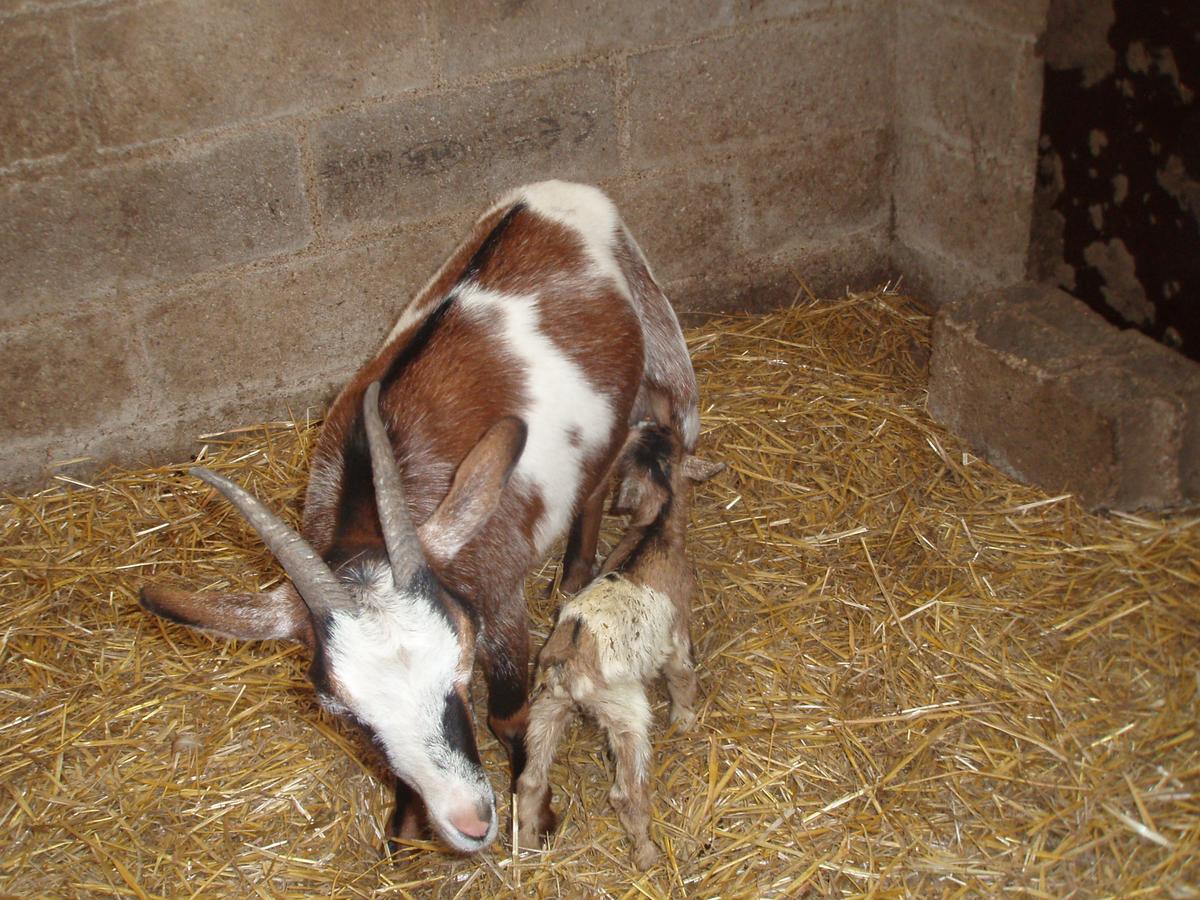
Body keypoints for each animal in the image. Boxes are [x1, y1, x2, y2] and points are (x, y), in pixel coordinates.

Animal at [136, 180, 700, 854]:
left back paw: (572, 576)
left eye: (461, 668)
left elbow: (509, 713)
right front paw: (406, 827)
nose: (471, 821)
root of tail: (560, 193)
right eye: (348, 714)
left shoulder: (497, 596)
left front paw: (535, 817)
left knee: (596, 484)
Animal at [516, 427, 720, 868]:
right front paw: (685, 718)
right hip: (626, 714)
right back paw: (647, 854)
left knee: (530, 780)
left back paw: (526, 843)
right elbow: (682, 675)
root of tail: (565, 664)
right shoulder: (677, 634)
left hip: (546, 707)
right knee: (626, 793)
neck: (653, 532)